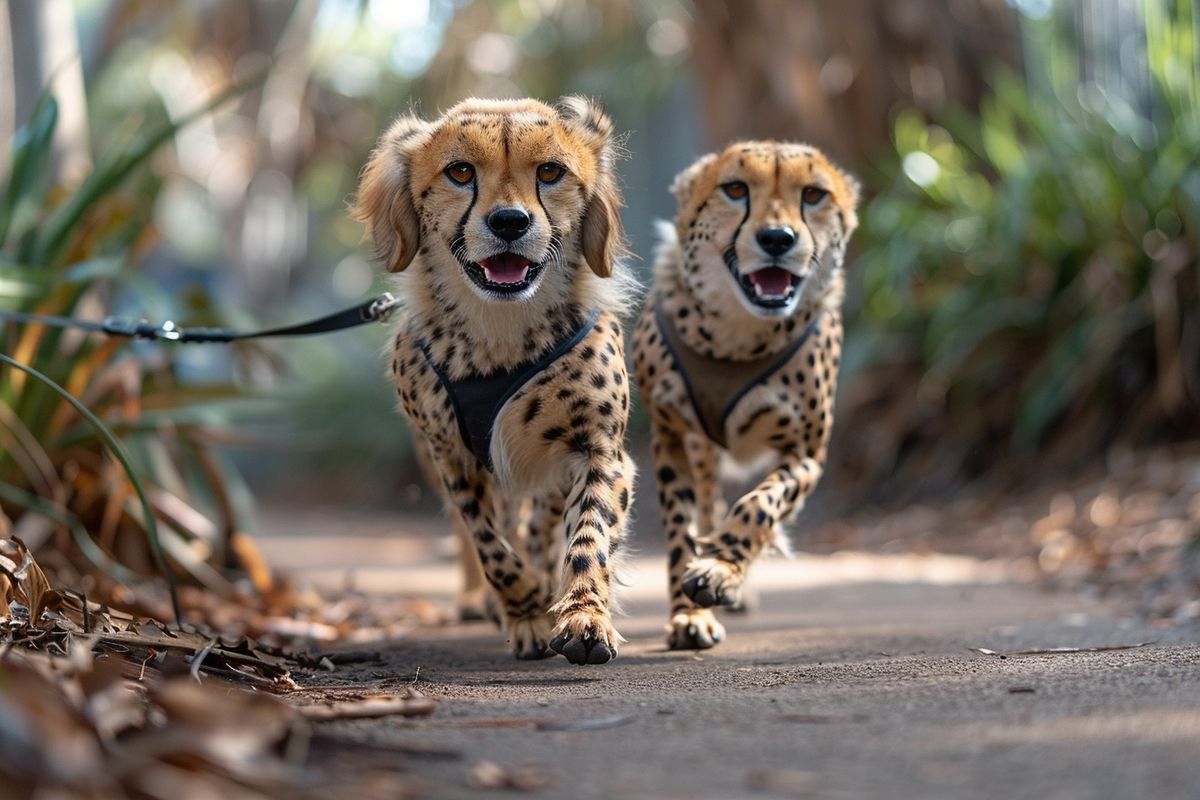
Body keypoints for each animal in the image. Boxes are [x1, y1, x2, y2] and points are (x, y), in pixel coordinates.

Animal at [352, 98, 638, 662]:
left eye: (550, 172)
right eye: (461, 172)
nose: (509, 221)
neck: (500, 332)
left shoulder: (598, 450)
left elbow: (588, 538)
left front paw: (583, 617)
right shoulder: (454, 458)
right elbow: (489, 545)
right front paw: (524, 606)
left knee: (542, 522)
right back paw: (484, 600)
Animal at [633, 137, 859, 652]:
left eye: (813, 194)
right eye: (735, 189)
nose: (777, 238)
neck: (737, 334)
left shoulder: (806, 452)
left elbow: (761, 505)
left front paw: (719, 571)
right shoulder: (670, 436)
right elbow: (680, 529)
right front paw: (688, 614)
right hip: (701, 451)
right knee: (708, 502)